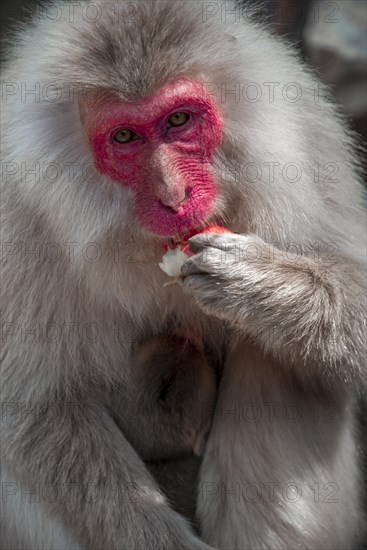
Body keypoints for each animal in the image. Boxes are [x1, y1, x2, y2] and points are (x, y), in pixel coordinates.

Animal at [0, 1, 366, 550]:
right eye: (125, 137)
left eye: (178, 120)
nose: (174, 197)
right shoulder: (17, 216)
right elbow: (36, 408)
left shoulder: (307, 140)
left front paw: (261, 286)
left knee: (269, 358)